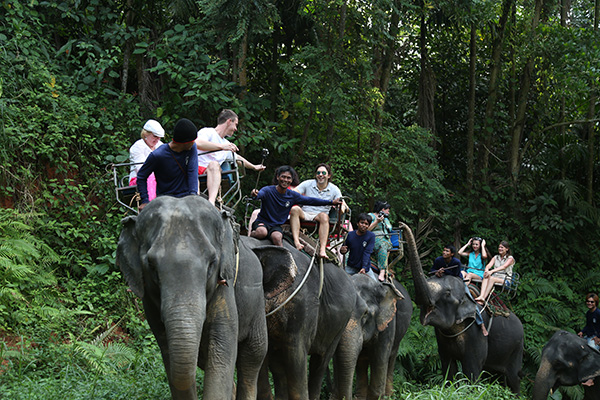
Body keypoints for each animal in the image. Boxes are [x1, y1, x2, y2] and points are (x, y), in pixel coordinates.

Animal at [115, 195, 296, 398]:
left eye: (211, 263)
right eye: (151, 266)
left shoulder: (224, 287)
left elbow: (221, 348)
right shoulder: (149, 302)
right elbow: (168, 351)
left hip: (256, 306)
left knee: (253, 356)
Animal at [400, 222, 524, 394]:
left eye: (447, 293)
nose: (401, 225)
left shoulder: (477, 331)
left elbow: (472, 368)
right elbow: (447, 365)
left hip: (517, 347)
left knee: (514, 378)